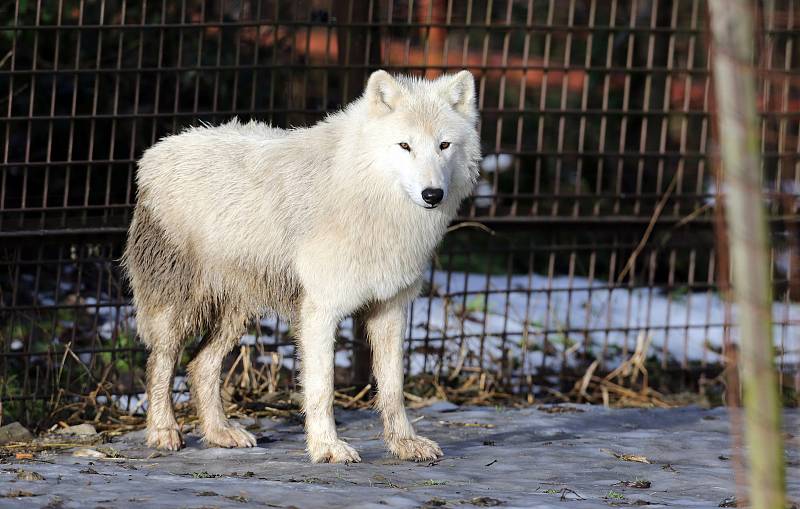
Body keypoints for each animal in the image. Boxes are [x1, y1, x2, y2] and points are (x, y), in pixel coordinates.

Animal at [122, 69, 478, 462]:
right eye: (405, 146)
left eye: (443, 146)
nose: (433, 195)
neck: (367, 195)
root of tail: (156, 151)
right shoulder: (320, 311)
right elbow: (322, 388)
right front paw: (327, 448)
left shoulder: (390, 308)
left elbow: (393, 388)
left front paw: (404, 443)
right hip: (181, 308)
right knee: (160, 361)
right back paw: (163, 432)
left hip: (237, 313)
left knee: (200, 366)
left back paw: (219, 434)